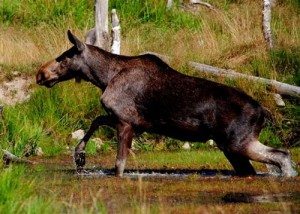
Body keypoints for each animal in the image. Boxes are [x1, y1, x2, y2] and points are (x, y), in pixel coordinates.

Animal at [36, 30, 296, 177]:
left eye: (64, 57)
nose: (40, 73)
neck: (104, 78)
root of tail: (263, 112)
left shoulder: (125, 121)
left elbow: (119, 166)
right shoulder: (132, 121)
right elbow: (96, 120)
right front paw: (79, 155)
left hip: (238, 143)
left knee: (282, 155)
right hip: (231, 147)